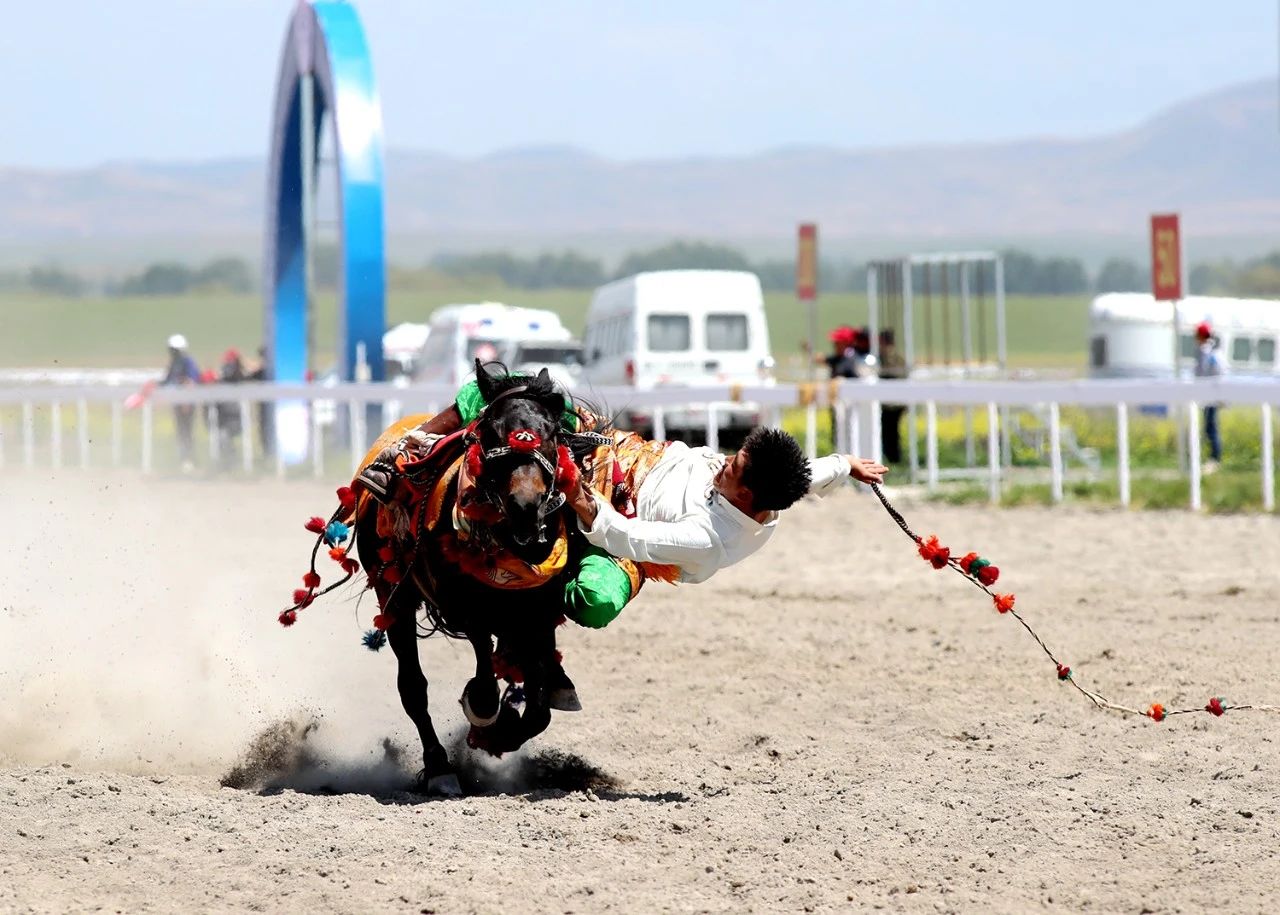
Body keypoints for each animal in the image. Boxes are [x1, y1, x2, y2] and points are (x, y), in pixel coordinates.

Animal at [355, 363, 593, 793]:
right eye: (492, 432)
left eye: (551, 431)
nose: (525, 504)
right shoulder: (463, 608)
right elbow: (483, 676)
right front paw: (483, 713)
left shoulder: (537, 614)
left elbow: (538, 706)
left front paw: (500, 734)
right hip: (393, 595)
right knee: (412, 687)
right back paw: (440, 768)